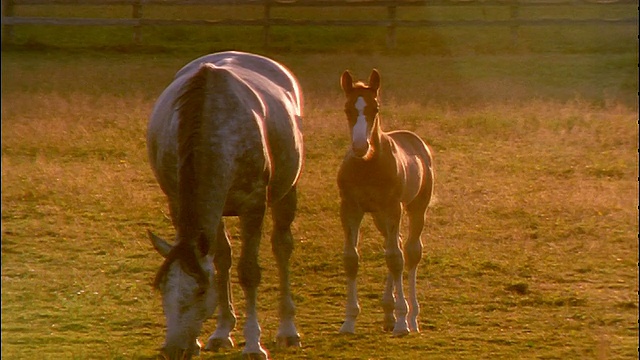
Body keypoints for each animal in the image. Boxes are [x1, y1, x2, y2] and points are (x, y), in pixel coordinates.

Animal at [146, 51, 304, 360]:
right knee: (224, 258)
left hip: (285, 194)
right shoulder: (180, 204)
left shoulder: (253, 205)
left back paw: (288, 330)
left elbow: (249, 272)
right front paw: (216, 335)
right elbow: (220, 263)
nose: (173, 349)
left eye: (200, 292)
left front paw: (254, 344)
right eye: (162, 289)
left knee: (282, 247)